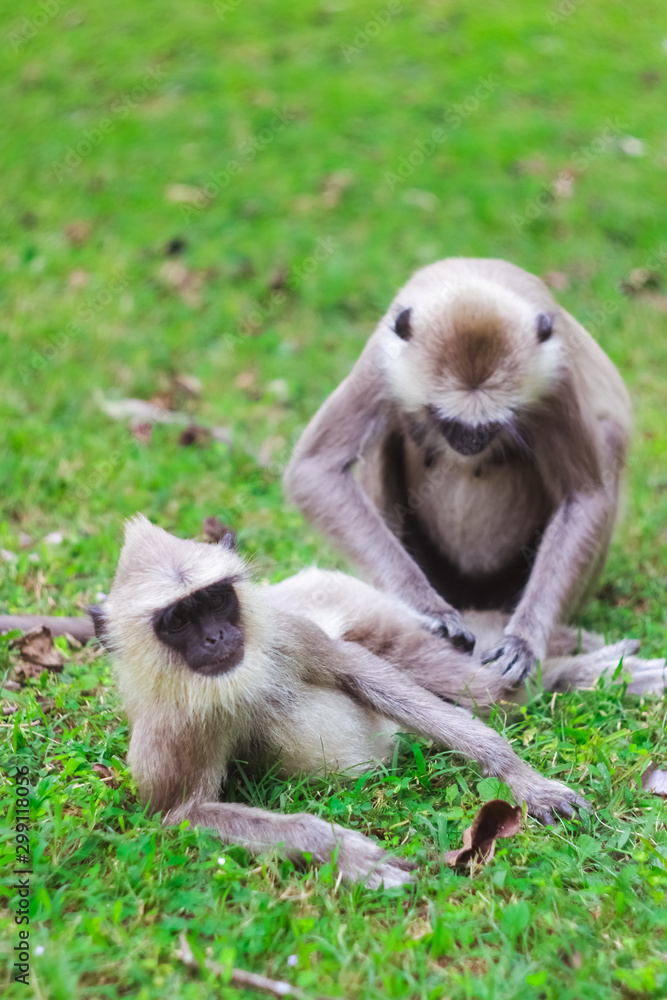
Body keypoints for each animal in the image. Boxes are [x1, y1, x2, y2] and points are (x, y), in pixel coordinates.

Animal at [88, 515, 600, 888]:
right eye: (178, 620)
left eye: (215, 600)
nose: (215, 637)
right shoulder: (169, 724)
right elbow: (178, 813)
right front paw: (344, 853)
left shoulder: (288, 634)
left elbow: (355, 669)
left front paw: (524, 781)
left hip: (358, 608)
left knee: (484, 690)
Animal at [284, 257, 633, 690]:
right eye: (445, 421)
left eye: (490, 426)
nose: (470, 442)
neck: (471, 283)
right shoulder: (381, 359)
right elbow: (316, 468)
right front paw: (426, 609)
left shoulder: (558, 373)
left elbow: (585, 494)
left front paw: (524, 641)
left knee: (610, 435)